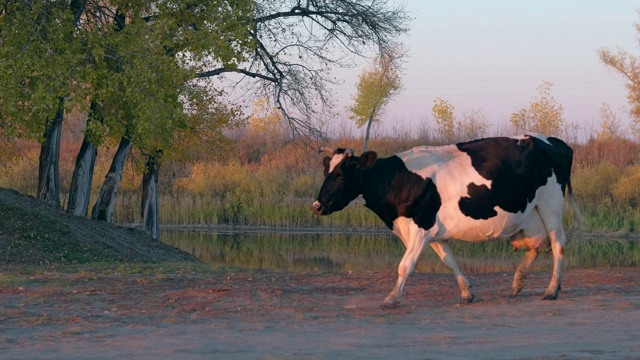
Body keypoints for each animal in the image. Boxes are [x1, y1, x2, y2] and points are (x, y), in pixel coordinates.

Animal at [312, 135, 584, 310]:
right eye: (326, 172)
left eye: (340, 174)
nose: (317, 206)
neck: (396, 180)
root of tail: (556, 142)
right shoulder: (432, 232)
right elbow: (449, 261)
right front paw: (467, 292)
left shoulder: (420, 227)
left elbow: (405, 266)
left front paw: (391, 298)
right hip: (529, 216)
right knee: (536, 246)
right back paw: (517, 283)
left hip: (551, 204)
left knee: (557, 245)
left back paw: (551, 290)